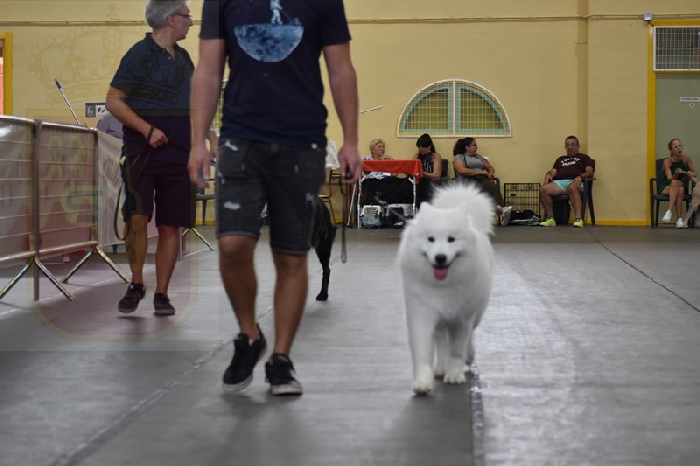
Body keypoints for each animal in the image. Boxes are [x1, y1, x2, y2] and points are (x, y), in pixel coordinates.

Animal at [398, 184, 495, 395]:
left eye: (451, 239)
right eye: (430, 239)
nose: (440, 258)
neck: (442, 286)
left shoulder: (462, 320)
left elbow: (457, 350)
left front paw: (455, 374)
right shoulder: (423, 315)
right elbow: (423, 352)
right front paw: (423, 382)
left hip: (476, 314)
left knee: (469, 337)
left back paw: (467, 357)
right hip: (441, 323)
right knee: (441, 343)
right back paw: (441, 367)